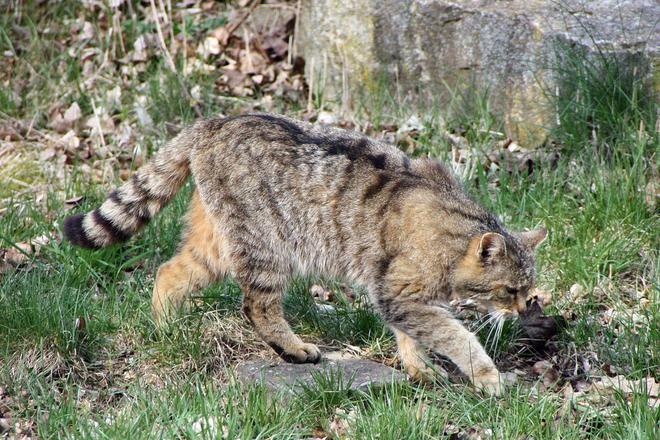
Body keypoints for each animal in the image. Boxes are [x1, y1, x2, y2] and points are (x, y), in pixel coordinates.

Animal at [63, 113, 548, 396]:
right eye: (509, 290)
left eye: (528, 289)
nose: (526, 309)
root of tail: (216, 121)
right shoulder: (402, 292)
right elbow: (454, 335)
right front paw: (485, 375)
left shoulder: (401, 294)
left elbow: (412, 335)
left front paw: (419, 368)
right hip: (266, 245)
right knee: (256, 306)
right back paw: (293, 348)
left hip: (216, 244)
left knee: (169, 270)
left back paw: (165, 326)